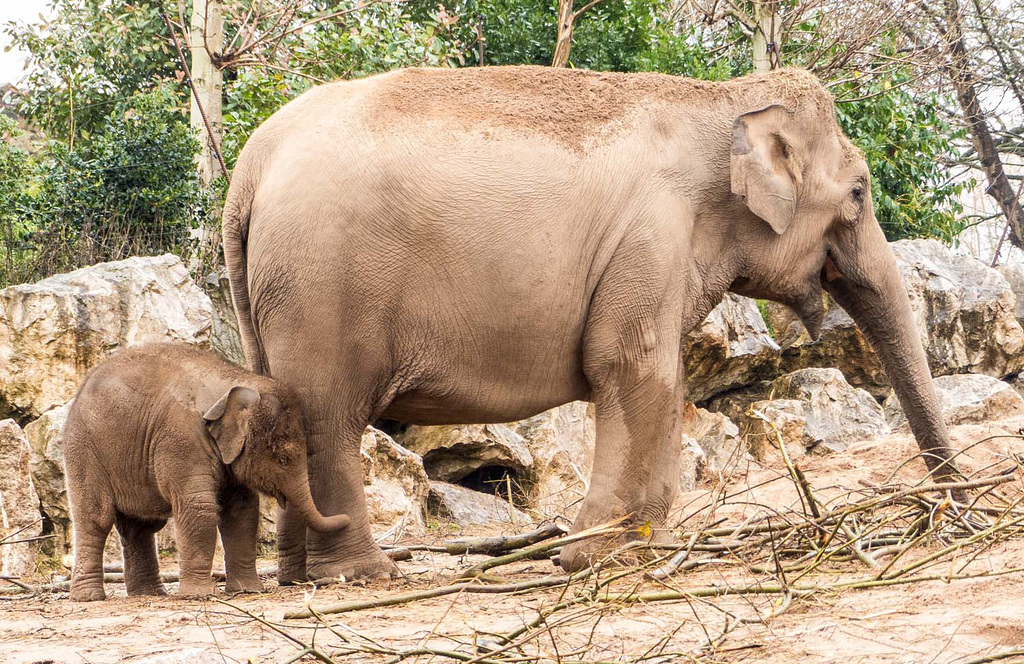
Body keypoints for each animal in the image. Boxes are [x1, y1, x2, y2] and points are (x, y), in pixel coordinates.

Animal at [67, 342, 352, 602]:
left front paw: (248, 591)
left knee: (140, 527)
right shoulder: (181, 441)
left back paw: (149, 594)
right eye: (282, 459)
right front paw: (199, 596)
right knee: (95, 519)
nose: (346, 518)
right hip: (84, 452)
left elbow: (242, 511)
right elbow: (199, 507)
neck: (234, 381)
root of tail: (81, 387)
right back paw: (89, 597)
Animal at [222, 64, 958, 577]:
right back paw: (362, 575)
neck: (721, 101)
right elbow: (631, 365)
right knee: (330, 414)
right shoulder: (651, 232)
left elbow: (668, 378)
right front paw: (593, 557)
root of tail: (251, 165)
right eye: (859, 192)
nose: (953, 508)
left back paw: (297, 577)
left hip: (276, 296)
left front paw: (644, 546)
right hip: (325, 284)